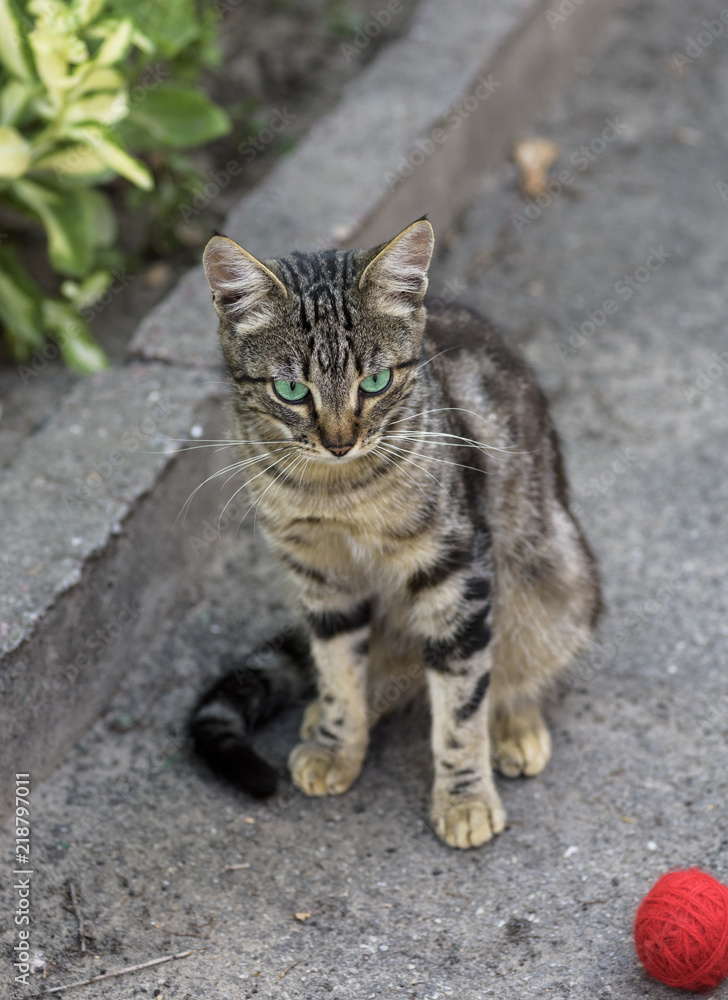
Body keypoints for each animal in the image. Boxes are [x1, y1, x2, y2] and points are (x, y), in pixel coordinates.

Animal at [189, 215, 604, 848]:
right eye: (292, 391)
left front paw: (465, 797)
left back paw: (513, 725)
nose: (339, 442)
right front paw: (337, 743)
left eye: (377, 381)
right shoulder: (320, 577)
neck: (337, 491)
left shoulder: (455, 570)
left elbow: (462, 700)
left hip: (552, 577)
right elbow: (338, 669)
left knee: (510, 670)